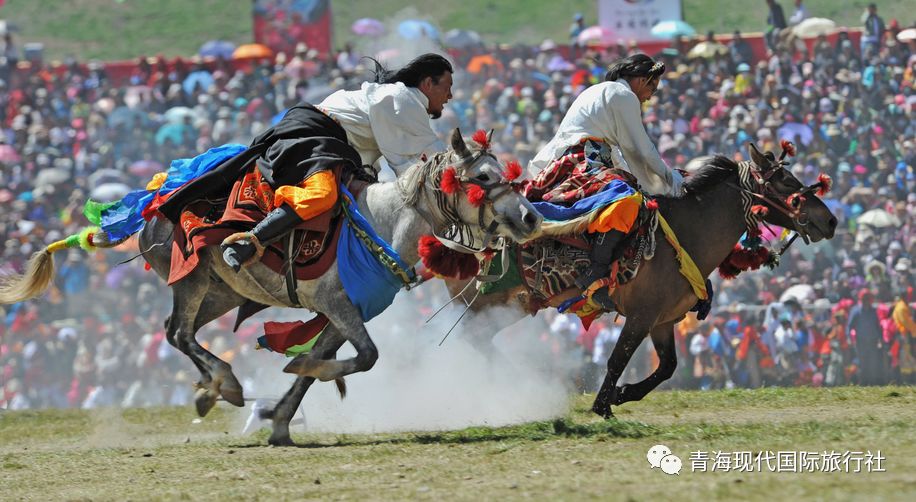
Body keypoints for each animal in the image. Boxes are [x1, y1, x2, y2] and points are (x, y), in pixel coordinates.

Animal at [444, 143, 836, 418]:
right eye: (785, 181)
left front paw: (621, 394)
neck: (684, 234)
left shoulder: (663, 320)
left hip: (513, 305)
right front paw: (602, 404)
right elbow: (617, 359)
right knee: (472, 339)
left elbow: (667, 367)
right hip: (488, 302)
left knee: (479, 340)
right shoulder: (641, 316)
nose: (829, 220)